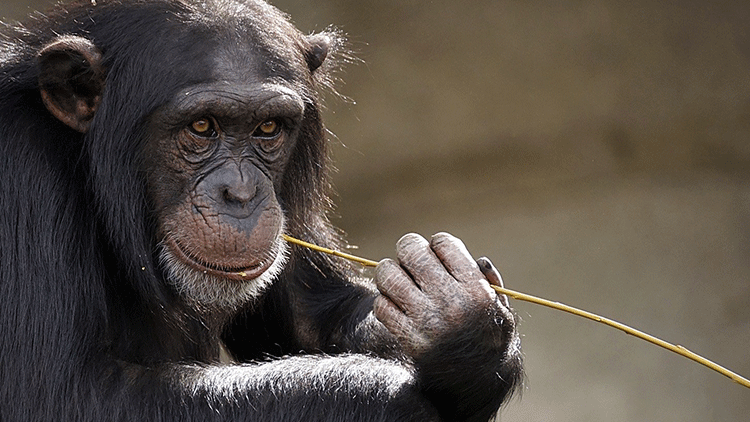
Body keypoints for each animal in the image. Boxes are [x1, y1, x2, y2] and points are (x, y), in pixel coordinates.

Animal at [0, 0, 524, 420]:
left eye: (268, 128)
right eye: (202, 126)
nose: (242, 192)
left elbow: (314, 317)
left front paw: (458, 318)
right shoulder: (22, 171)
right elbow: (60, 395)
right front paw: (391, 393)